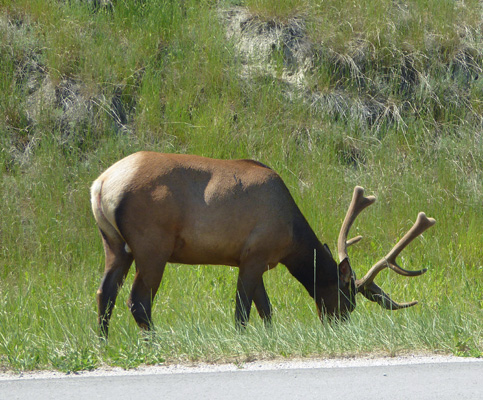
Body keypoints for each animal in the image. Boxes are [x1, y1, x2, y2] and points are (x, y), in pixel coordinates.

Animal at [90, 152, 434, 336]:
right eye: (346, 297)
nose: (340, 326)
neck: (292, 237)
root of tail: (101, 184)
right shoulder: (254, 255)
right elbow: (242, 312)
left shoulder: (253, 260)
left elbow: (266, 310)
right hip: (152, 245)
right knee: (138, 300)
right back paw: (155, 341)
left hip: (114, 244)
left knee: (104, 293)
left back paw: (103, 343)